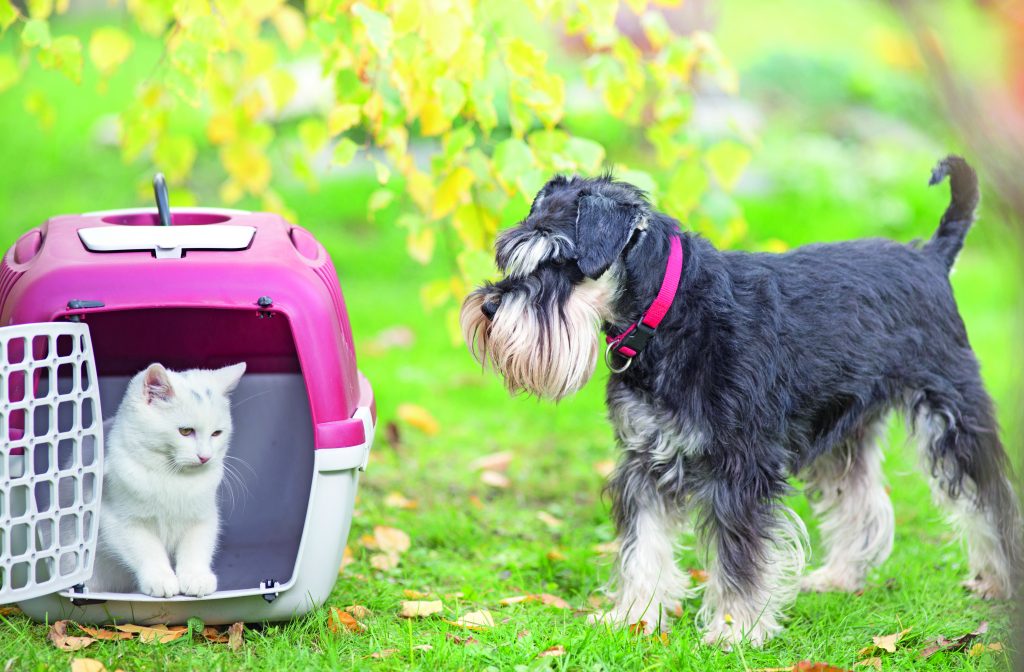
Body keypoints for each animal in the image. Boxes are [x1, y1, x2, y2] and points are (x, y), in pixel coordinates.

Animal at [88, 362, 245, 598]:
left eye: (217, 433)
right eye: (185, 431)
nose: (205, 457)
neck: (172, 476)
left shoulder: (202, 517)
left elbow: (196, 546)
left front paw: (196, 577)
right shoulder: (119, 522)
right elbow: (147, 550)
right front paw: (160, 578)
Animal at [464, 155, 1024, 647]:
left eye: (558, 259)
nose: (489, 306)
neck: (670, 313)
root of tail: (930, 255)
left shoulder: (741, 467)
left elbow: (740, 560)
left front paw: (735, 630)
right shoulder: (645, 461)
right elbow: (643, 545)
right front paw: (633, 616)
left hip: (952, 413)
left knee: (990, 498)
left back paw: (1000, 582)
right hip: (843, 430)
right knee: (861, 502)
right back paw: (840, 576)